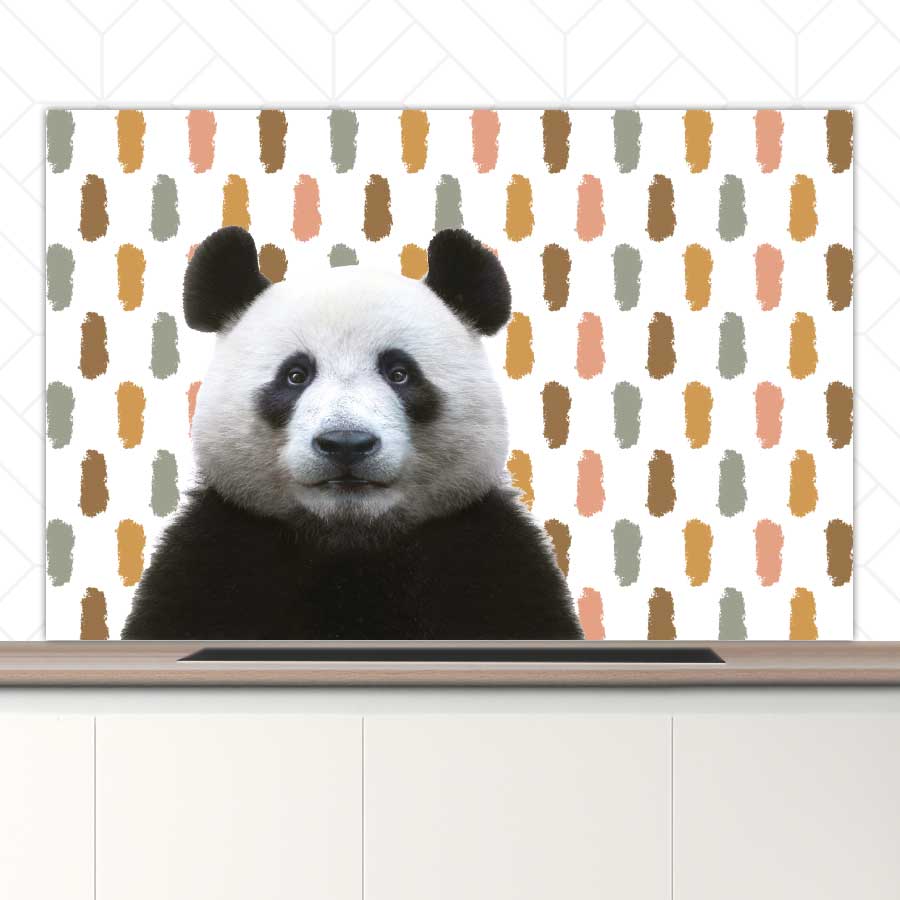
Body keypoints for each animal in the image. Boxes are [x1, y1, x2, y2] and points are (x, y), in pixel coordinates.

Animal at [122, 226, 583, 640]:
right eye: (295, 375)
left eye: (399, 373)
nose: (346, 444)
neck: (350, 541)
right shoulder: (215, 555)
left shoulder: (487, 557)